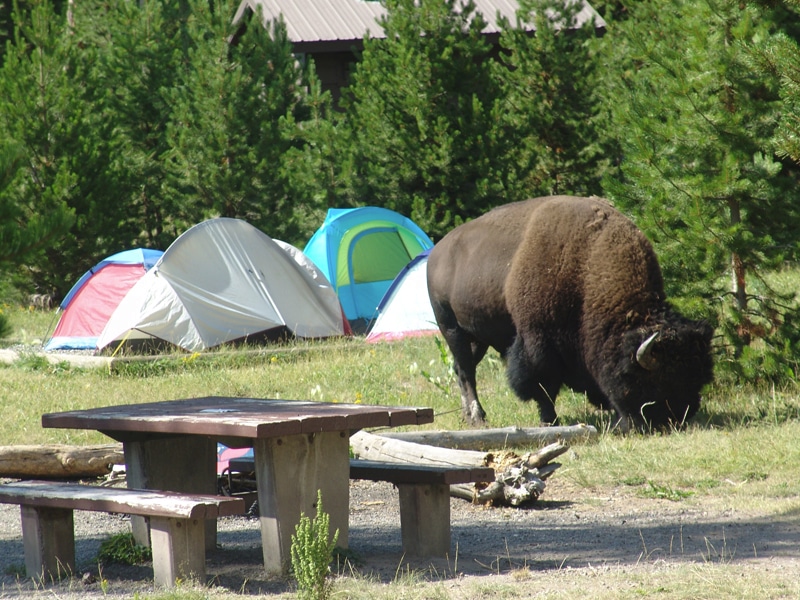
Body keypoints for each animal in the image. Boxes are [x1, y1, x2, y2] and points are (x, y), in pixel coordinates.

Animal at [428, 197, 716, 432]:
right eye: (655, 381)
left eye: (697, 378)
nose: (676, 418)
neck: (586, 269)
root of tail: (437, 252)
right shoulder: (538, 343)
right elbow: (543, 386)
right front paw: (550, 421)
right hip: (452, 329)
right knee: (466, 372)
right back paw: (478, 417)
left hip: (477, 338)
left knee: (460, 369)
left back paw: (468, 416)